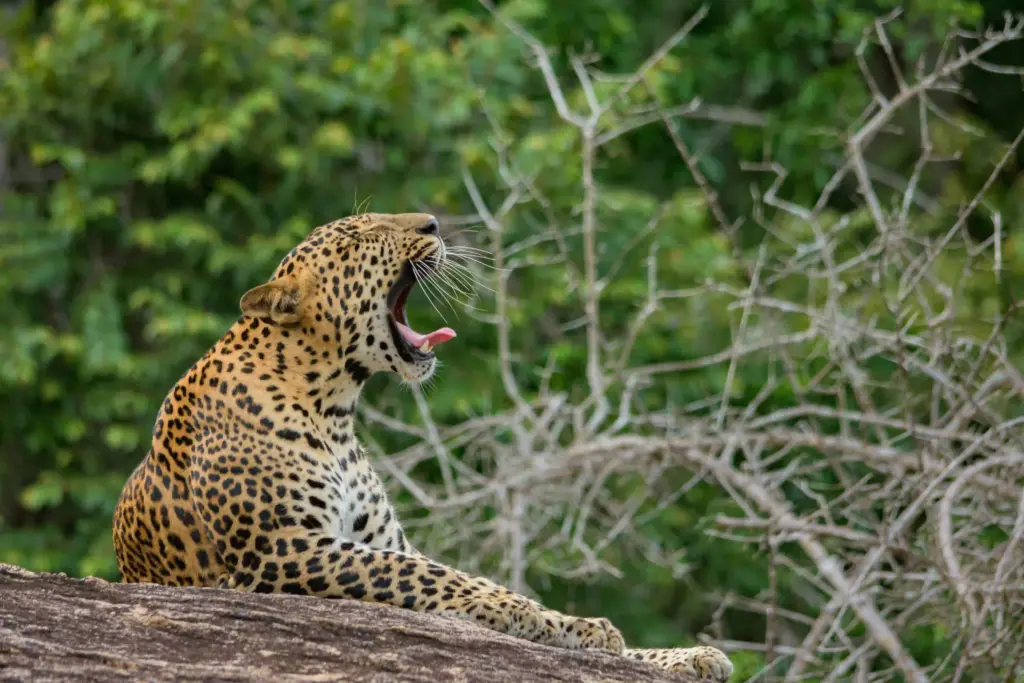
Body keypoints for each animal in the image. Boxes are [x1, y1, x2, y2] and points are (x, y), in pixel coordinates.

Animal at [112, 212, 733, 682]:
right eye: (358, 237)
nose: (433, 222)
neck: (333, 409)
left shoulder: (374, 540)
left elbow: (428, 567)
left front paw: (654, 647)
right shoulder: (281, 550)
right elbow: (434, 575)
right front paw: (523, 613)